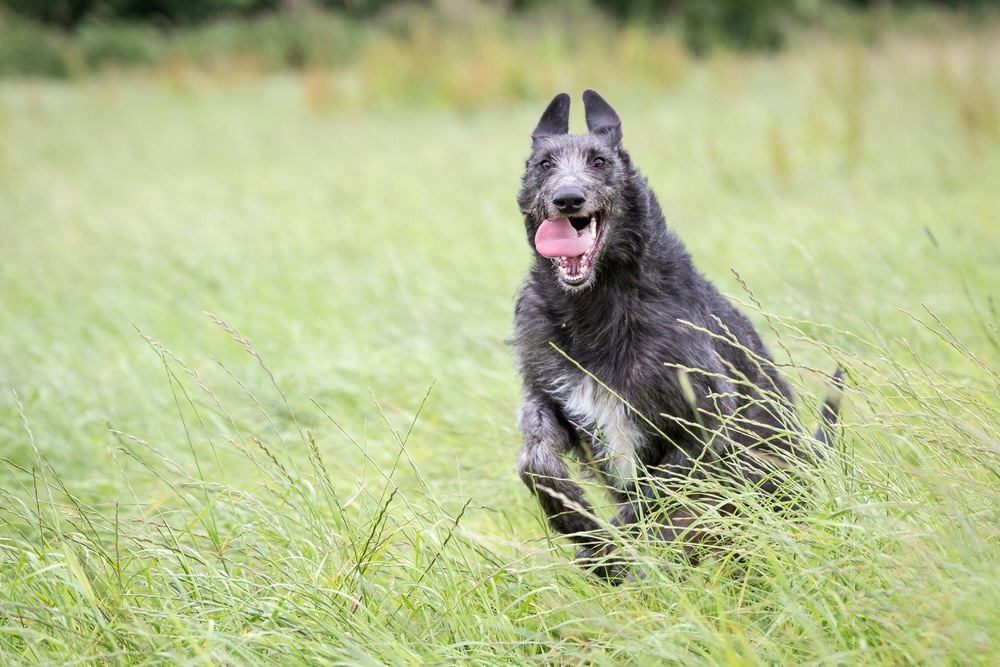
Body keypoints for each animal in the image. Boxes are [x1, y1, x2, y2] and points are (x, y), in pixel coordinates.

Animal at [512, 90, 840, 584]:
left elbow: (653, 494)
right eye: (544, 164)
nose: (568, 199)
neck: (599, 302)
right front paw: (579, 525)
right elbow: (536, 460)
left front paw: (606, 545)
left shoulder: (705, 423)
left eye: (600, 161)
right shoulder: (550, 393)